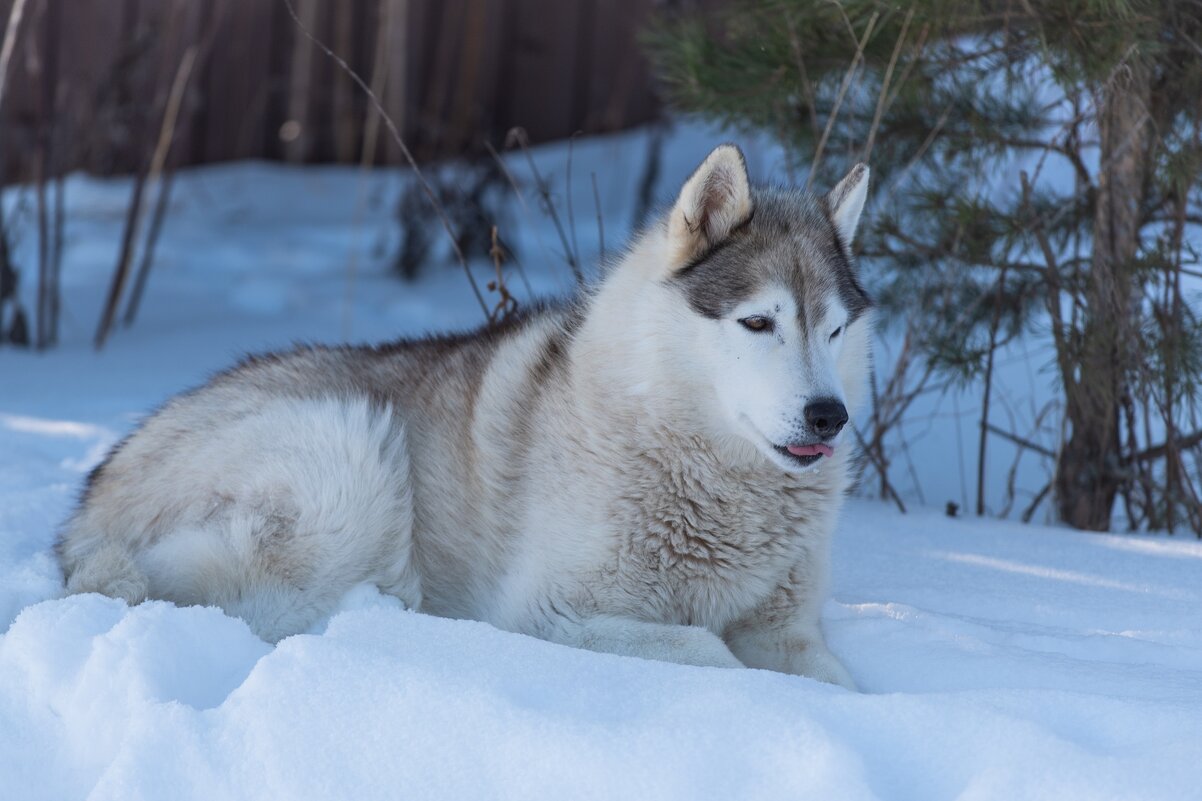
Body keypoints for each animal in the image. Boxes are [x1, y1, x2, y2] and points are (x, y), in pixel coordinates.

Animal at [56, 144, 875, 687]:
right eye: (759, 323)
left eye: (834, 329)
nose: (828, 417)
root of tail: (94, 492)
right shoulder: (547, 614)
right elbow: (713, 650)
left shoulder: (790, 627)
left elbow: (834, 678)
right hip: (352, 462)